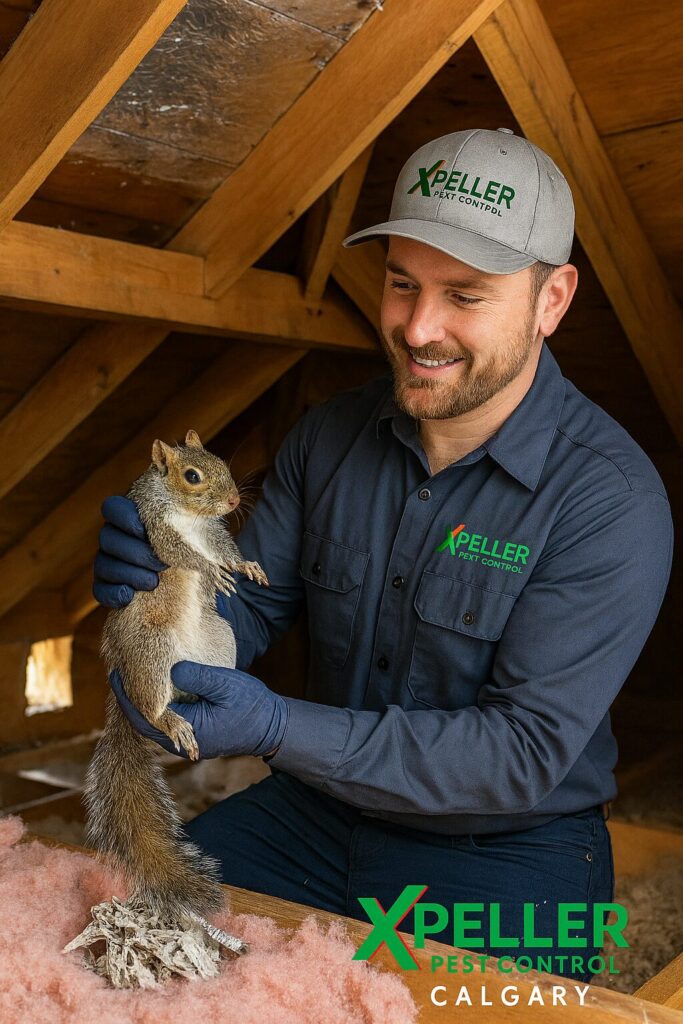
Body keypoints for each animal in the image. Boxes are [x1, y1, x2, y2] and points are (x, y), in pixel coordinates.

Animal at [84, 429, 269, 924]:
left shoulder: (214, 532)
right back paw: (169, 719)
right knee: (154, 705)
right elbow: (180, 553)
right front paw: (210, 571)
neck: (190, 516)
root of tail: (123, 677)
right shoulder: (155, 526)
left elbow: (225, 548)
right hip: (152, 654)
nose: (233, 500)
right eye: (191, 476)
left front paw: (244, 566)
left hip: (219, 640)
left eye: (220, 460)